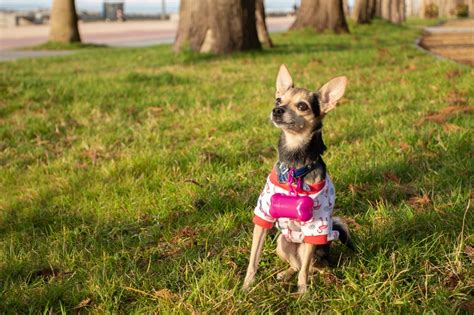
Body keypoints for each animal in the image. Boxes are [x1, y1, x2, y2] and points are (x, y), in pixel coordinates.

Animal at [244, 65, 352, 296]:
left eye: (302, 106)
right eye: (278, 100)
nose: (276, 110)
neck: (294, 165)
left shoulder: (315, 226)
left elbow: (304, 272)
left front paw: (302, 294)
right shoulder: (263, 216)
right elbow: (253, 259)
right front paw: (246, 286)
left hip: (313, 246)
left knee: (310, 267)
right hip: (282, 242)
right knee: (296, 265)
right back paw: (285, 274)